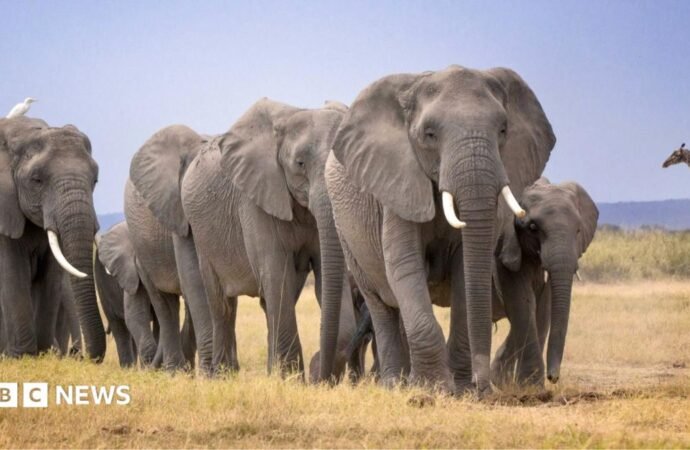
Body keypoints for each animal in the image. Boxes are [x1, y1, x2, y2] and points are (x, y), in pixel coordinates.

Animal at [0, 116, 105, 360]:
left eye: (95, 180)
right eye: (36, 180)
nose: (82, 356)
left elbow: (51, 277)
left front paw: (44, 353)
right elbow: (12, 271)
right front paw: (22, 356)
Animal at [180, 99, 357, 379]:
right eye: (300, 164)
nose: (318, 373)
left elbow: (328, 275)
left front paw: (297, 375)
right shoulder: (254, 199)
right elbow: (275, 273)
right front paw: (291, 380)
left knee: (270, 303)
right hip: (202, 236)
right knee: (222, 305)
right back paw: (222, 376)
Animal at [325, 65, 556, 394]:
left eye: (503, 130)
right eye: (429, 135)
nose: (484, 388)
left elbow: (464, 270)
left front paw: (460, 390)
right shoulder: (397, 181)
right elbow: (405, 264)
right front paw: (432, 389)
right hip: (346, 234)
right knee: (381, 304)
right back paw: (395, 385)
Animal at [491, 177, 598, 385]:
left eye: (578, 230)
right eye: (532, 228)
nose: (553, 377)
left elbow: (543, 306)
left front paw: (524, 385)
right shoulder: (505, 252)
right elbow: (523, 302)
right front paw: (530, 386)